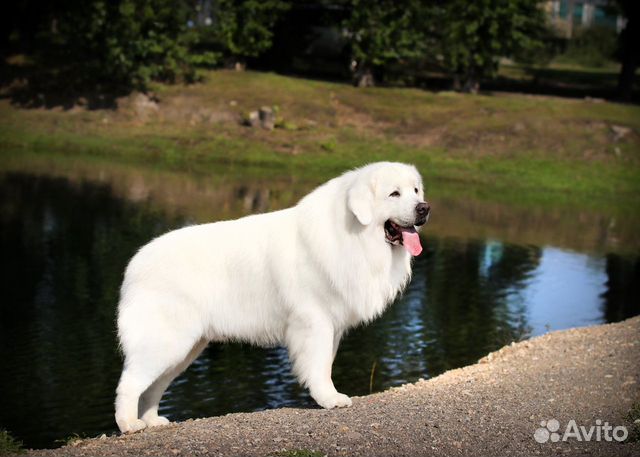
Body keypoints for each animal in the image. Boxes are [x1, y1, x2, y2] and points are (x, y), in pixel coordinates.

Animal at [115, 162, 430, 432]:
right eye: (394, 193)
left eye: (416, 191)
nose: (424, 208)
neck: (352, 234)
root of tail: (134, 265)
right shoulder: (314, 322)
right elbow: (319, 366)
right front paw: (329, 399)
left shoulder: (332, 326)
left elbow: (325, 363)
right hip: (167, 340)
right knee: (130, 383)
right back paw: (129, 424)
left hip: (185, 348)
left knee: (153, 387)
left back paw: (152, 421)